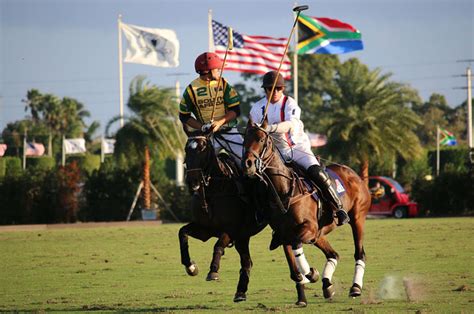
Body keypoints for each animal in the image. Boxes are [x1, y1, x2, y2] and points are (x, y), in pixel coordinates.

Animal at [243, 119, 372, 302]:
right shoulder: (284, 235)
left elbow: (297, 246)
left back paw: (355, 288)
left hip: (357, 218)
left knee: (359, 253)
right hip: (319, 233)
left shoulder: (308, 228)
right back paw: (327, 285)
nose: (247, 164)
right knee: (333, 254)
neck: (284, 191)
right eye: (245, 139)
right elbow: (294, 271)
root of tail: (354, 174)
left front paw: (311, 273)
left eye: (261, 139)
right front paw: (304, 292)